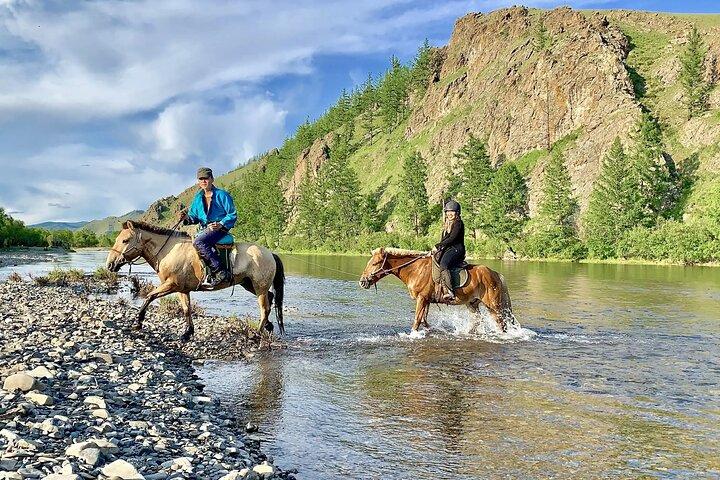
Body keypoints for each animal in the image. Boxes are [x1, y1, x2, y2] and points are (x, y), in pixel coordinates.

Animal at [106, 221, 284, 342]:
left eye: (125, 240)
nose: (109, 264)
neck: (169, 251)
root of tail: (270, 253)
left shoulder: (171, 285)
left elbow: (149, 296)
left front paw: (138, 322)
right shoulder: (182, 289)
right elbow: (186, 309)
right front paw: (187, 333)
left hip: (259, 286)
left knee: (264, 308)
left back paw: (258, 333)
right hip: (249, 284)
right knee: (270, 298)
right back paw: (268, 326)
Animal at [359, 247, 515, 332]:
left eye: (375, 263)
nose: (362, 282)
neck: (415, 270)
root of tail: (495, 273)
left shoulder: (421, 298)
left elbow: (417, 320)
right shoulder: (427, 300)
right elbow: (424, 320)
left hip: (493, 305)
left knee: (501, 323)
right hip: (472, 303)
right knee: (477, 320)